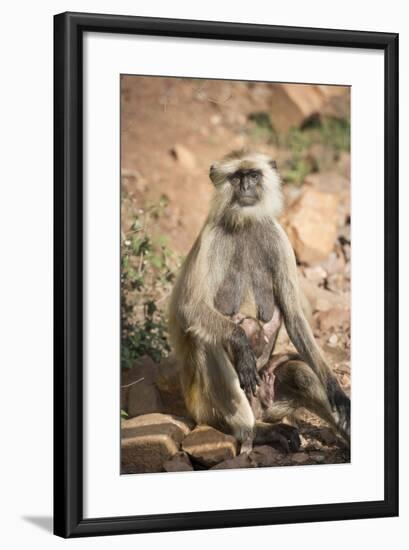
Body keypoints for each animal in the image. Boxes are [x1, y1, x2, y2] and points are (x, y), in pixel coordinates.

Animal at [167, 150, 350, 452]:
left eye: (252, 175)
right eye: (236, 177)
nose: (245, 187)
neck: (246, 224)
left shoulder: (277, 235)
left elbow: (294, 315)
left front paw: (336, 389)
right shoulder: (212, 237)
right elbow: (189, 308)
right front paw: (242, 344)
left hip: (271, 395)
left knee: (299, 371)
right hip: (204, 409)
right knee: (205, 340)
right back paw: (253, 432)